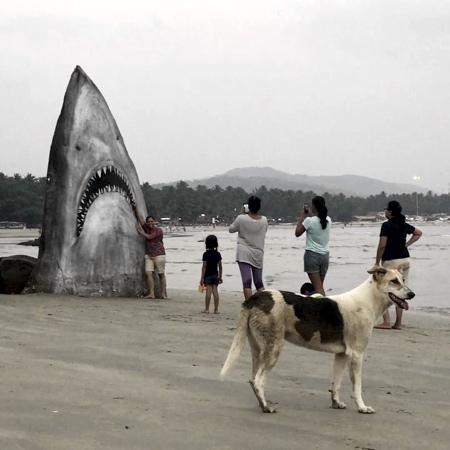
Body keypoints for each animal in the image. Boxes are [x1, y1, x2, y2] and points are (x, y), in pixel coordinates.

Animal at [221, 264, 414, 414]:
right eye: (394, 281)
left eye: (403, 280)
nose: (412, 295)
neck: (368, 301)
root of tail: (255, 297)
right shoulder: (356, 355)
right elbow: (357, 387)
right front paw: (362, 407)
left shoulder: (342, 355)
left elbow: (336, 383)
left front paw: (336, 403)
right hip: (274, 347)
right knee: (258, 380)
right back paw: (267, 407)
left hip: (257, 348)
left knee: (253, 379)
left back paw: (263, 405)